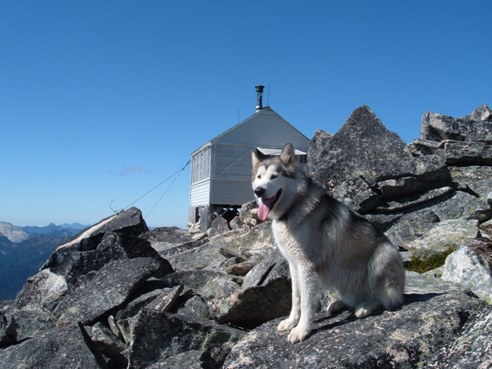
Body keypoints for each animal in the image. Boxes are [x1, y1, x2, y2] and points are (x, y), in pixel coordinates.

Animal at [252, 142, 406, 342]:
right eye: (259, 177)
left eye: (274, 176)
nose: (258, 191)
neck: (292, 210)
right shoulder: (294, 264)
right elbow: (296, 297)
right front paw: (291, 322)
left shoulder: (306, 266)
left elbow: (307, 302)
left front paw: (302, 330)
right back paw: (338, 304)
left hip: (382, 256)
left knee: (384, 298)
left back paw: (366, 306)